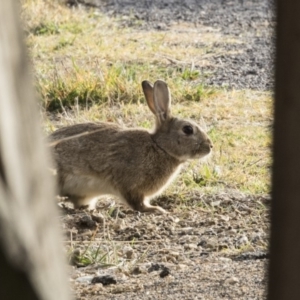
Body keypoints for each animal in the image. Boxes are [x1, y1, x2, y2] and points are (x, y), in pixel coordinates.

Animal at [49, 79, 213, 213]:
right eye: (188, 129)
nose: (210, 146)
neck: (160, 147)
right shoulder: (130, 185)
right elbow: (137, 203)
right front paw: (155, 209)